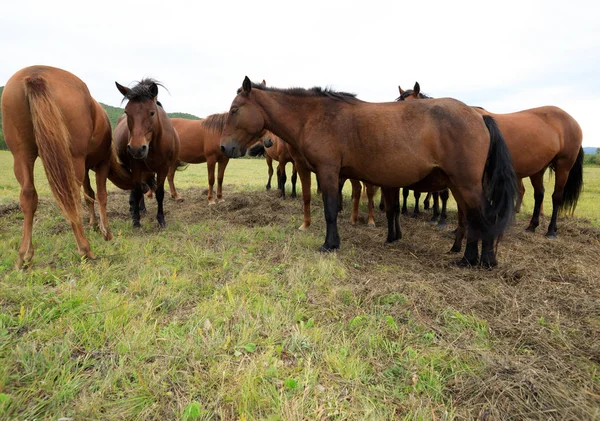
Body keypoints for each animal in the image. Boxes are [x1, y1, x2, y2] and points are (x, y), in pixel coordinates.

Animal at [1, 65, 134, 270]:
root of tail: (34, 74)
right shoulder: (100, 164)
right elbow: (101, 196)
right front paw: (106, 231)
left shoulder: (85, 167)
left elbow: (89, 195)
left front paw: (93, 224)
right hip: (72, 160)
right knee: (71, 197)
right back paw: (85, 248)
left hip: (22, 155)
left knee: (28, 196)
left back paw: (25, 254)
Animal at [114, 79, 180, 230]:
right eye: (127, 112)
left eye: (152, 113)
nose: (137, 149)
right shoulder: (136, 167)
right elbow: (138, 191)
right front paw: (136, 220)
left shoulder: (163, 169)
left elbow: (159, 193)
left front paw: (161, 220)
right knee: (136, 189)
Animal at [221, 77, 520, 268]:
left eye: (235, 110)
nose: (225, 146)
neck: (315, 116)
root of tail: (479, 115)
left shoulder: (328, 172)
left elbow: (330, 210)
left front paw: (330, 244)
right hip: (459, 185)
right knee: (473, 218)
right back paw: (473, 259)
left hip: (466, 184)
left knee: (480, 217)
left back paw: (476, 261)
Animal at [400, 81, 584, 243]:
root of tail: (571, 120)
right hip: (538, 169)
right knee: (539, 195)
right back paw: (532, 226)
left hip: (563, 166)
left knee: (556, 196)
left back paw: (551, 231)